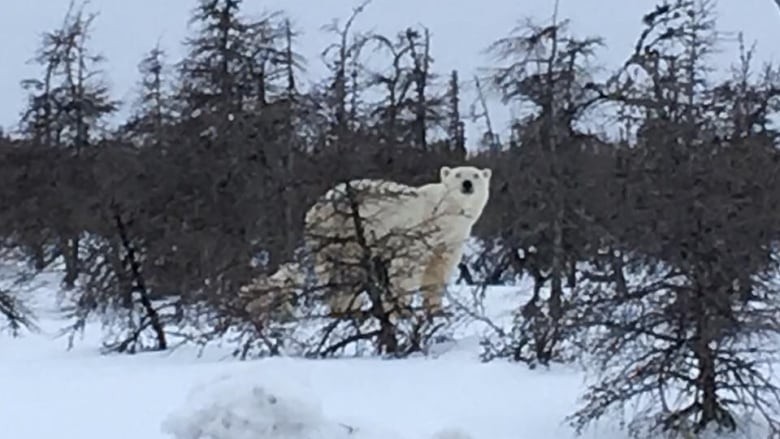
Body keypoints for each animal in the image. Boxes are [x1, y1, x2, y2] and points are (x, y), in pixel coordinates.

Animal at [302, 166, 490, 320]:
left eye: (476, 175)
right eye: (458, 174)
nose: (467, 184)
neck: (443, 215)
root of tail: (316, 206)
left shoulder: (451, 239)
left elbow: (438, 270)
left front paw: (438, 311)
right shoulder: (418, 230)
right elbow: (408, 267)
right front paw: (402, 311)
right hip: (340, 229)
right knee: (346, 270)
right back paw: (349, 311)